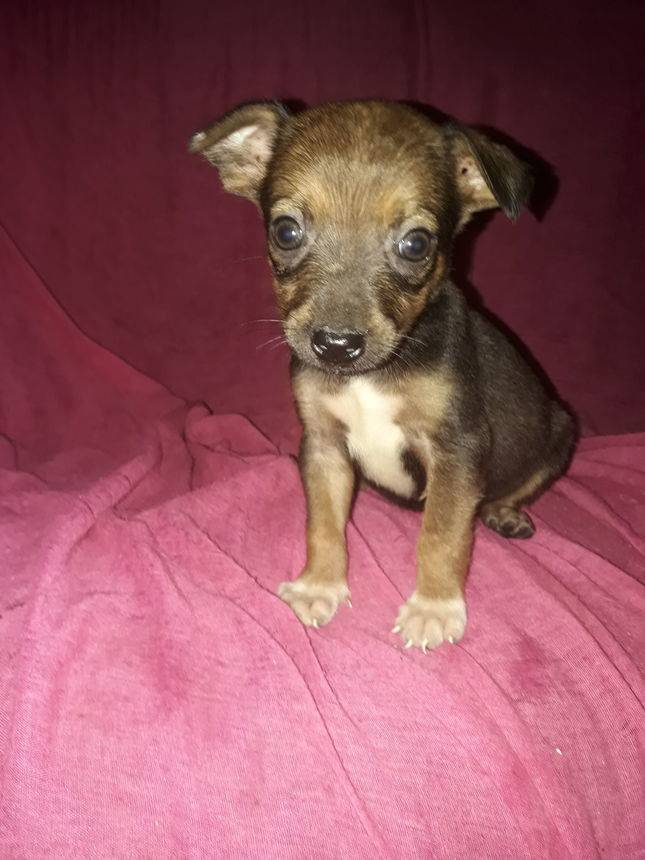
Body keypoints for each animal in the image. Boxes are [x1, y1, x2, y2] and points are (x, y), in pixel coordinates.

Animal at [189, 100, 576, 651]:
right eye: (285, 231)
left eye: (416, 244)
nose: (335, 345)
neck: (371, 377)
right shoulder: (323, 445)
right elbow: (323, 523)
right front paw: (320, 584)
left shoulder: (457, 448)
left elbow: (442, 535)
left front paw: (434, 605)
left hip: (560, 433)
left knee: (518, 487)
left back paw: (504, 512)